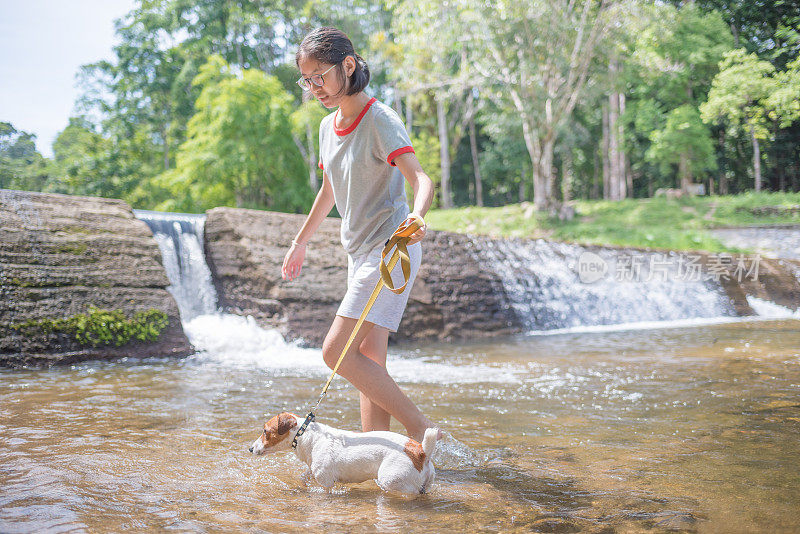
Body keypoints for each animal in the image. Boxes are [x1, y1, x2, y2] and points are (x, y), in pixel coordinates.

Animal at [248, 414, 438, 498]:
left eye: (265, 431)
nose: (250, 449)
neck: (306, 436)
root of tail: (421, 451)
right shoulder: (312, 470)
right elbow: (304, 477)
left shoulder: (325, 481)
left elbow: (325, 491)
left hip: (391, 480)